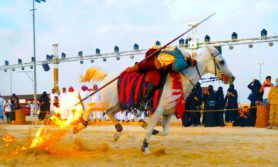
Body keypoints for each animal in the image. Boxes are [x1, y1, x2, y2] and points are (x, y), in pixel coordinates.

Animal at [73, 45, 235, 154]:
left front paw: (145, 126)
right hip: (108, 101)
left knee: (109, 113)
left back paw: (118, 131)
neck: (180, 79)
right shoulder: (158, 111)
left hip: (118, 104)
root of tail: (108, 78)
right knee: (91, 106)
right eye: (221, 61)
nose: (232, 78)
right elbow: (151, 128)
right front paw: (145, 146)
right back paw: (79, 126)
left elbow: (163, 132)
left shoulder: (168, 113)